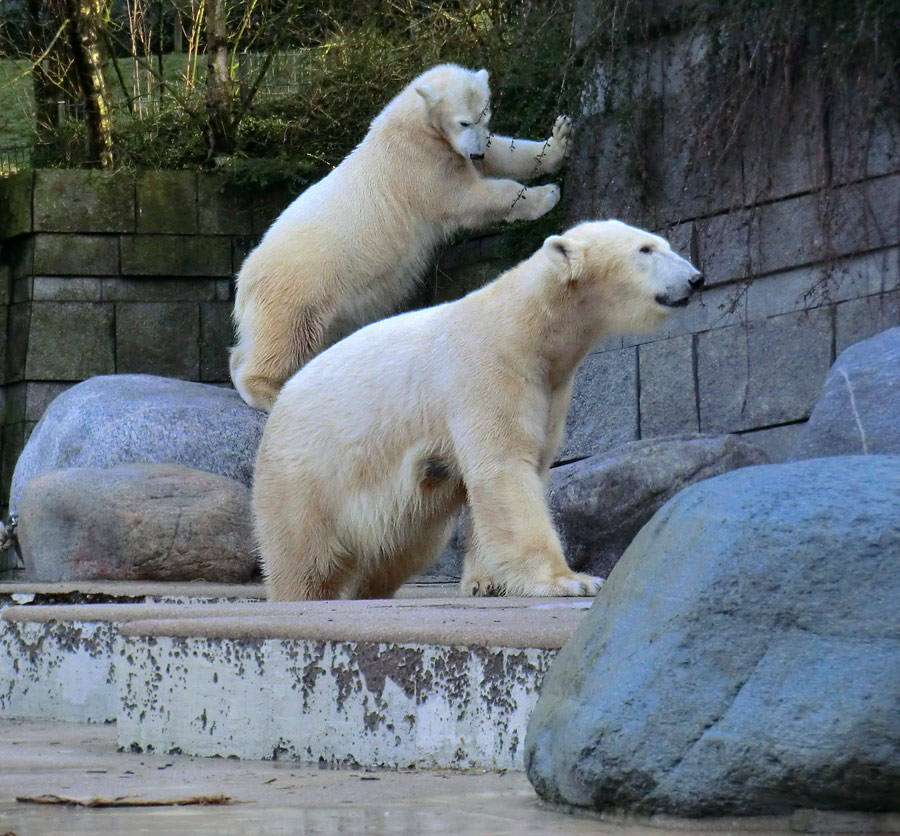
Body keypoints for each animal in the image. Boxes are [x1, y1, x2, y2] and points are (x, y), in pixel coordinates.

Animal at [230, 63, 568, 410]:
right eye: (463, 120)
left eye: (485, 116)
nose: (475, 154)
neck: (412, 123)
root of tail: (243, 281)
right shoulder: (420, 164)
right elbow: (466, 197)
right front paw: (547, 195)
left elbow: (504, 152)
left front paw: (559, 138)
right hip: (300, 288)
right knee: (287, 337)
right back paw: (268, 390)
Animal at [251, 220, 704, 600]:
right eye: (645, 249)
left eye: (663, 244)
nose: (696, 279)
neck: (528, 329)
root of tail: (282, 400)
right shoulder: (487, 371)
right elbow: (504, 466)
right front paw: (570, 580)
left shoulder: (550, 389)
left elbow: (522, 469)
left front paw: (488, 582)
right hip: (307, 469)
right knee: (304, 554)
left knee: (403, 545)